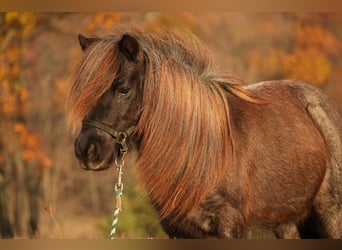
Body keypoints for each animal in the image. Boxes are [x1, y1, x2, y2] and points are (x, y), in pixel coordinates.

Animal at [67, 26, 342, 239]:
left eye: (123, 89)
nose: (86, 150)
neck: (201, 152)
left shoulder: (229, 227)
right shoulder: (178, 230)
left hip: (330, 216)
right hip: (288, 222)